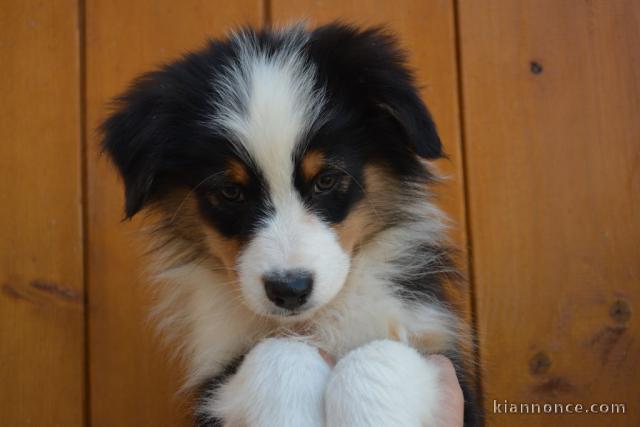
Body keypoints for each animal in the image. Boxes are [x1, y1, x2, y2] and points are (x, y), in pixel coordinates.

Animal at [101, 23, 480, 427]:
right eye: (230, 191)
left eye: (327, 180)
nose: (289, 290)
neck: (313, 322)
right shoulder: (216, 377)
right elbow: (277, 355)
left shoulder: (438, 350)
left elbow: (376, 357)